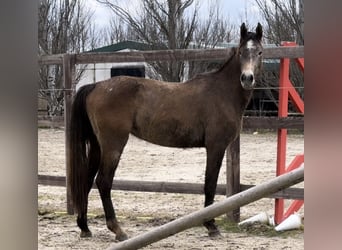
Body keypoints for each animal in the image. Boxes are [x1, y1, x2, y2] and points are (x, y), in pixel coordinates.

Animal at [68, 22, 264, 241]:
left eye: (259, 52)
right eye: (241, 52)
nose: (247, 78)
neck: (222, 92)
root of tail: (96, 86)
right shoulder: (216, 147)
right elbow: (210, 183)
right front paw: (211, 225)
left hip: (97, 146)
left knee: (86, 180)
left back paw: (84, 227)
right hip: (113, 145)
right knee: (103, 182)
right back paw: (117, 229)